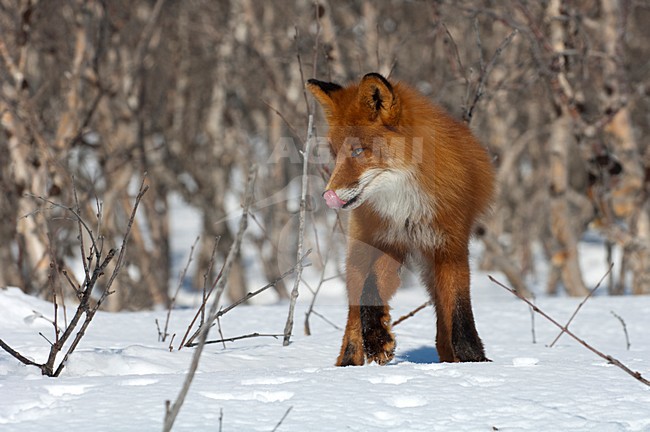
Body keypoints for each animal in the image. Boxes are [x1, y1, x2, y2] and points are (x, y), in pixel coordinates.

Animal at [307, 72, 494, 366]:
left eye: (358, 151)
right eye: (335, 153)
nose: (328, 195)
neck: (406, 207)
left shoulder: (450, 245)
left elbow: (459, 309)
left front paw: (473, 359)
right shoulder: (387, 240)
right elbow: (369, 289)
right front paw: (377, 339)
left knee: (442, 318)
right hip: (360, 249)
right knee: (354, 307)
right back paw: (349, 359)